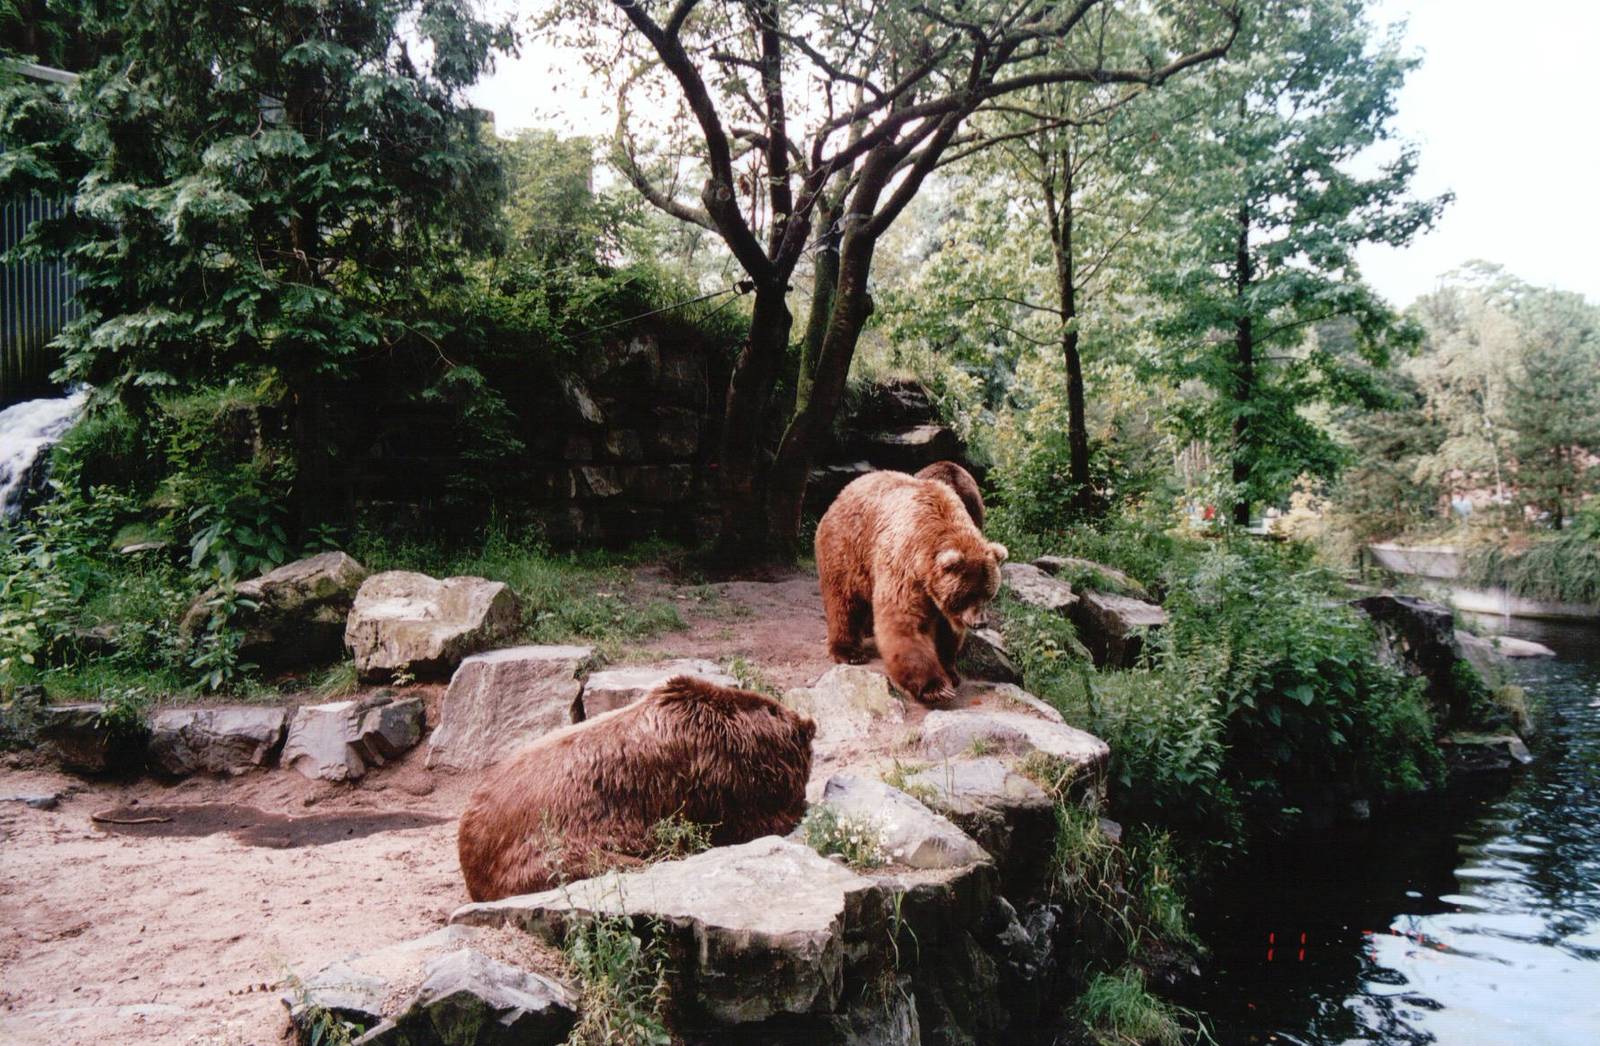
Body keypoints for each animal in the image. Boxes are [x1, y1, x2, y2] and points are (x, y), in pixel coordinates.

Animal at [815, 469, 1008, 704]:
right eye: (969, 595)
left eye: (988, 594)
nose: (980, 622)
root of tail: (840, 495)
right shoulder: (905, 564)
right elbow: (905, 622)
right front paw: (935, 687)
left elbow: (946, 632)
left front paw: (951, 672)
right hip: (848, 549)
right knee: (843, 601)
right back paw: (850, 652)